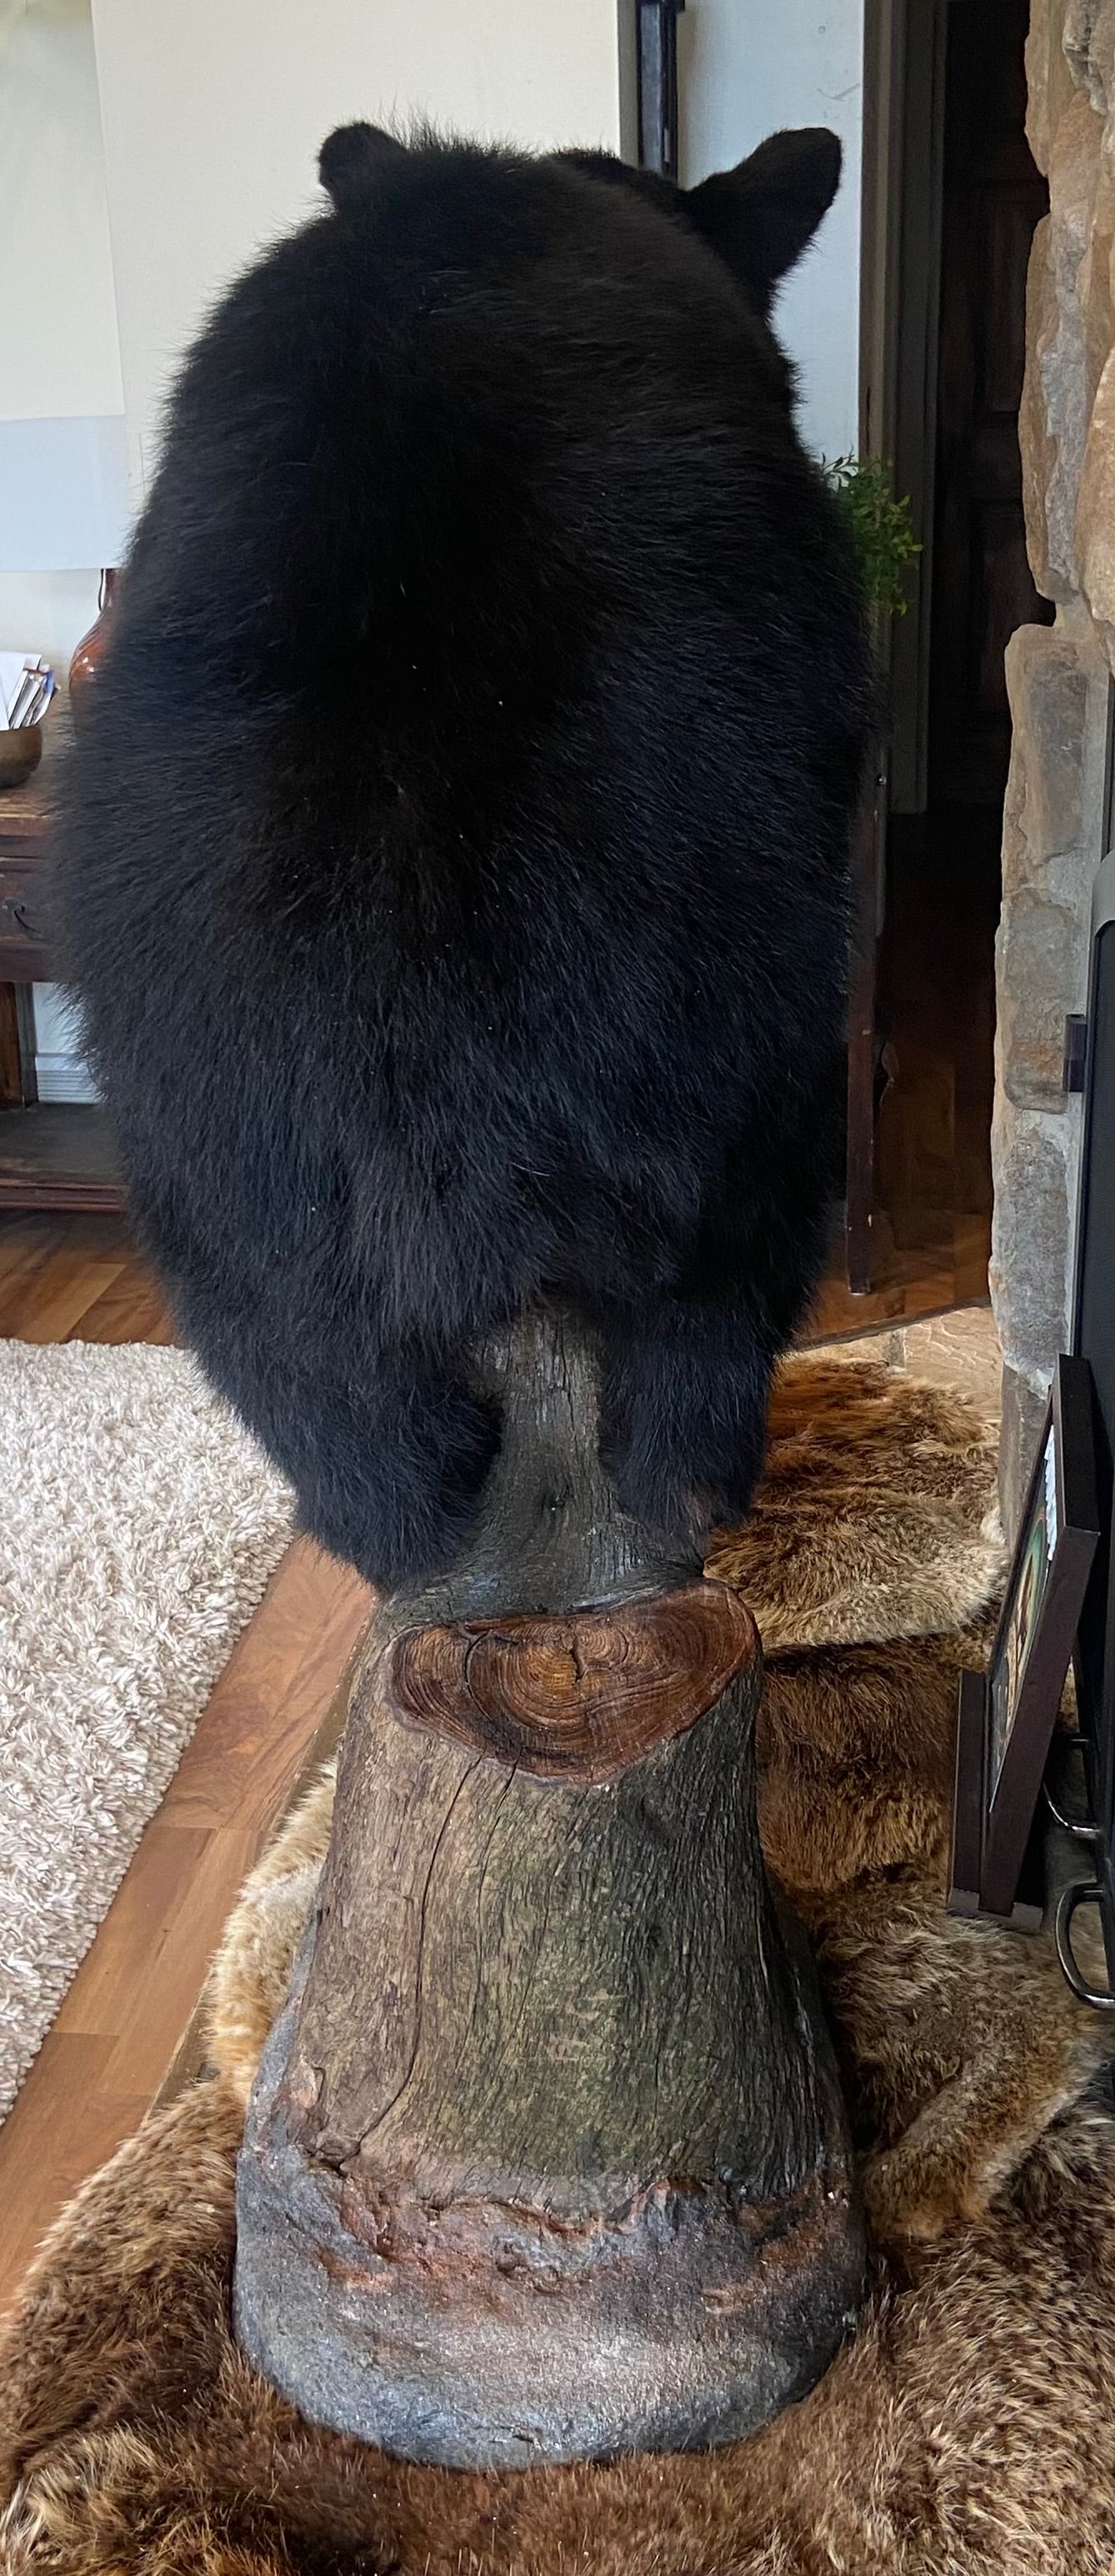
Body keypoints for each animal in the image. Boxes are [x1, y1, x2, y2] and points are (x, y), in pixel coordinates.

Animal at [58, 121, 871, 1590]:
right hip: (745, 1029)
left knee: (329, 1401)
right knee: (715, 1304)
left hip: (209, 1148)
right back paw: (689, 1491)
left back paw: (407, 1531)